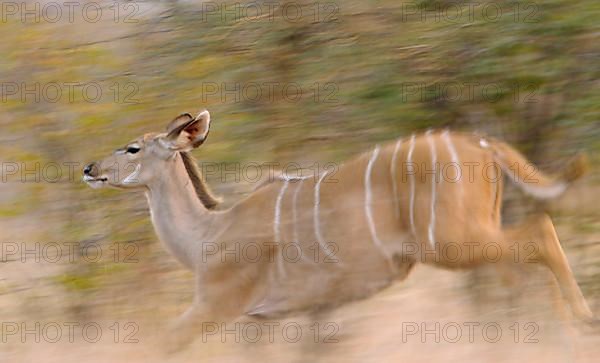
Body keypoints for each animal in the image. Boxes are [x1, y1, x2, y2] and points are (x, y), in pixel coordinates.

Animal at [84, 109, 596, 342]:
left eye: (133, 148)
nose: (90, 168)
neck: (208, 233)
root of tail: (482, 143)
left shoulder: (215, 306)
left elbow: (158, 345)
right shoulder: (271, 320)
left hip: (455, 242)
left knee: (540, 233)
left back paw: (580, 321)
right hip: (476, 237)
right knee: (523, 262)